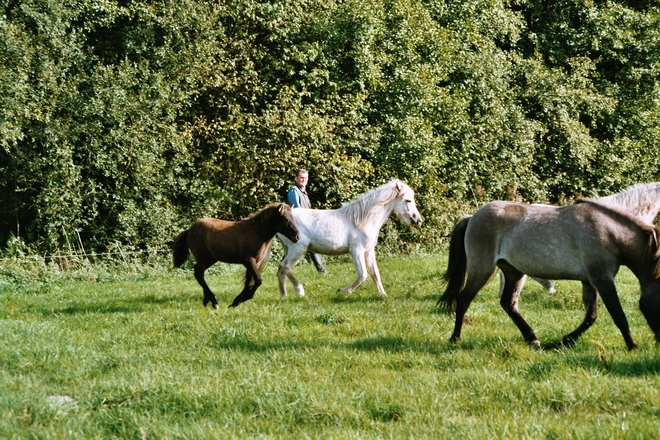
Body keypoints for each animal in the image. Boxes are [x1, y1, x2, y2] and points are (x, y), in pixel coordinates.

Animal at [278, 180, 422, 298]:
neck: (361, 221)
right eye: (408, 200)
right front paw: (343, 291)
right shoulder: (356, 251)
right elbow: (363, 275)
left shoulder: (369, 251)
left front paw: (383, 295)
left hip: (289, 249)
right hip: (298, 249)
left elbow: (375, 273)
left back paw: (284, 296)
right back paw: (299, 290)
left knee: (281, 270)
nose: (418, 220)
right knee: (285, 267)